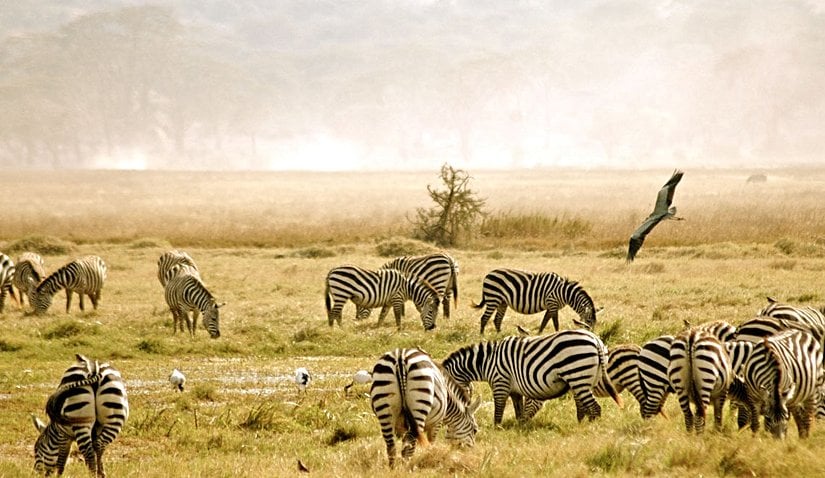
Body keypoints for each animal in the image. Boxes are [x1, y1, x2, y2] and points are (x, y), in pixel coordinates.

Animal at [441, 329, 622, 426]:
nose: (444, 420)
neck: (487, 362)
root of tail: (596, 340)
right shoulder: (514, 390)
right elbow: (518, 410)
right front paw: (519, 426)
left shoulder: (500, 382)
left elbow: (498, 410)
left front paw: (497, 428)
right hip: (586, 378)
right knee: (584, 405)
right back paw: (580, 424)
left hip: (578, 374)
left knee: (595, 408)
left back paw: (589, 429)